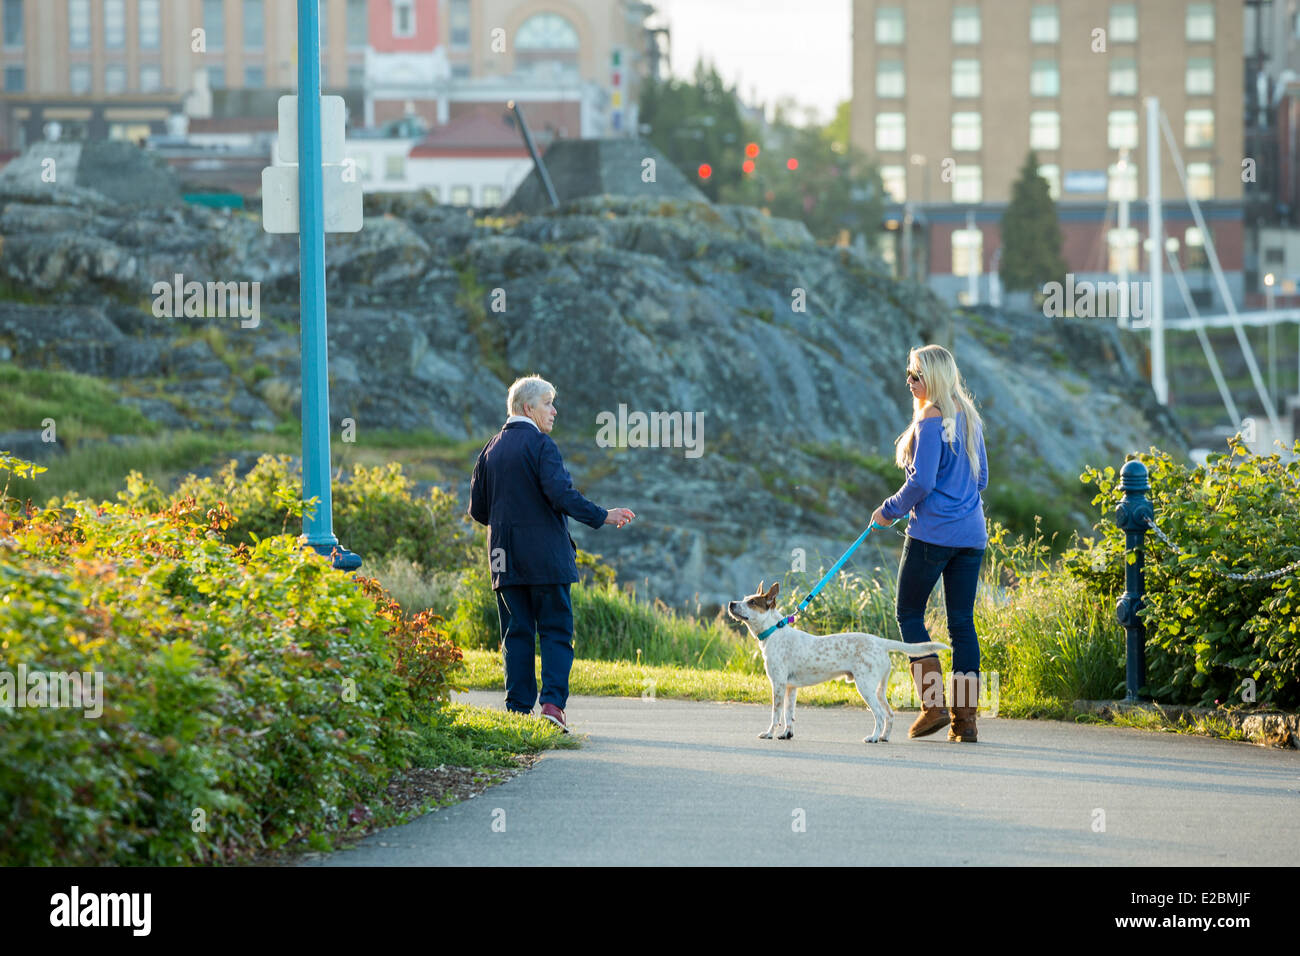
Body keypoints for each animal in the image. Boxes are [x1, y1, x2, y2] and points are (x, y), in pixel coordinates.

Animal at [728, 580, 951, 743]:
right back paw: (884, 737)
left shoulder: (779, 685)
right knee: (889, 714)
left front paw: (769, 733)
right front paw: (786, 734)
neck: (774, 631)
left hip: (865, 687)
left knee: (879, 715)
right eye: (745, 599)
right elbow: (788, 715)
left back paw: (873, 737)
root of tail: (880, 641)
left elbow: (775, 715)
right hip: (879, 689)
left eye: (751, 602)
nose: (731, 604)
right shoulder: (791, 688)